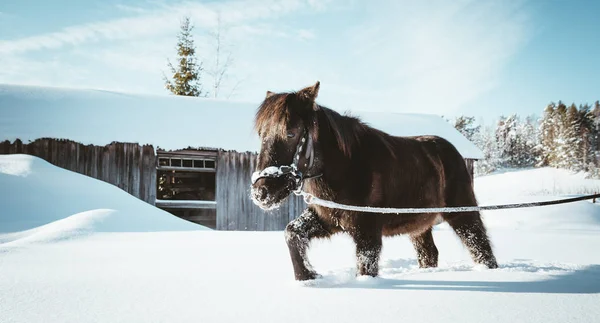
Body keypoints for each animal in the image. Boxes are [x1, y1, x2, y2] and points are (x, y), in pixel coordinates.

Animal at [248, 81, 496, 280]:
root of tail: (451, 150)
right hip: (419, 225)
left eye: (291, 133)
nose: (261, 192)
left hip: (462, 214)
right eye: (261, 134)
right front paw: (307, 276)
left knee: (481, 248)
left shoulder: (367, 232)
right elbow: (292, 233)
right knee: (429, 254)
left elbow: (366, 267)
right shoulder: (327, 218)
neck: (347, 168)